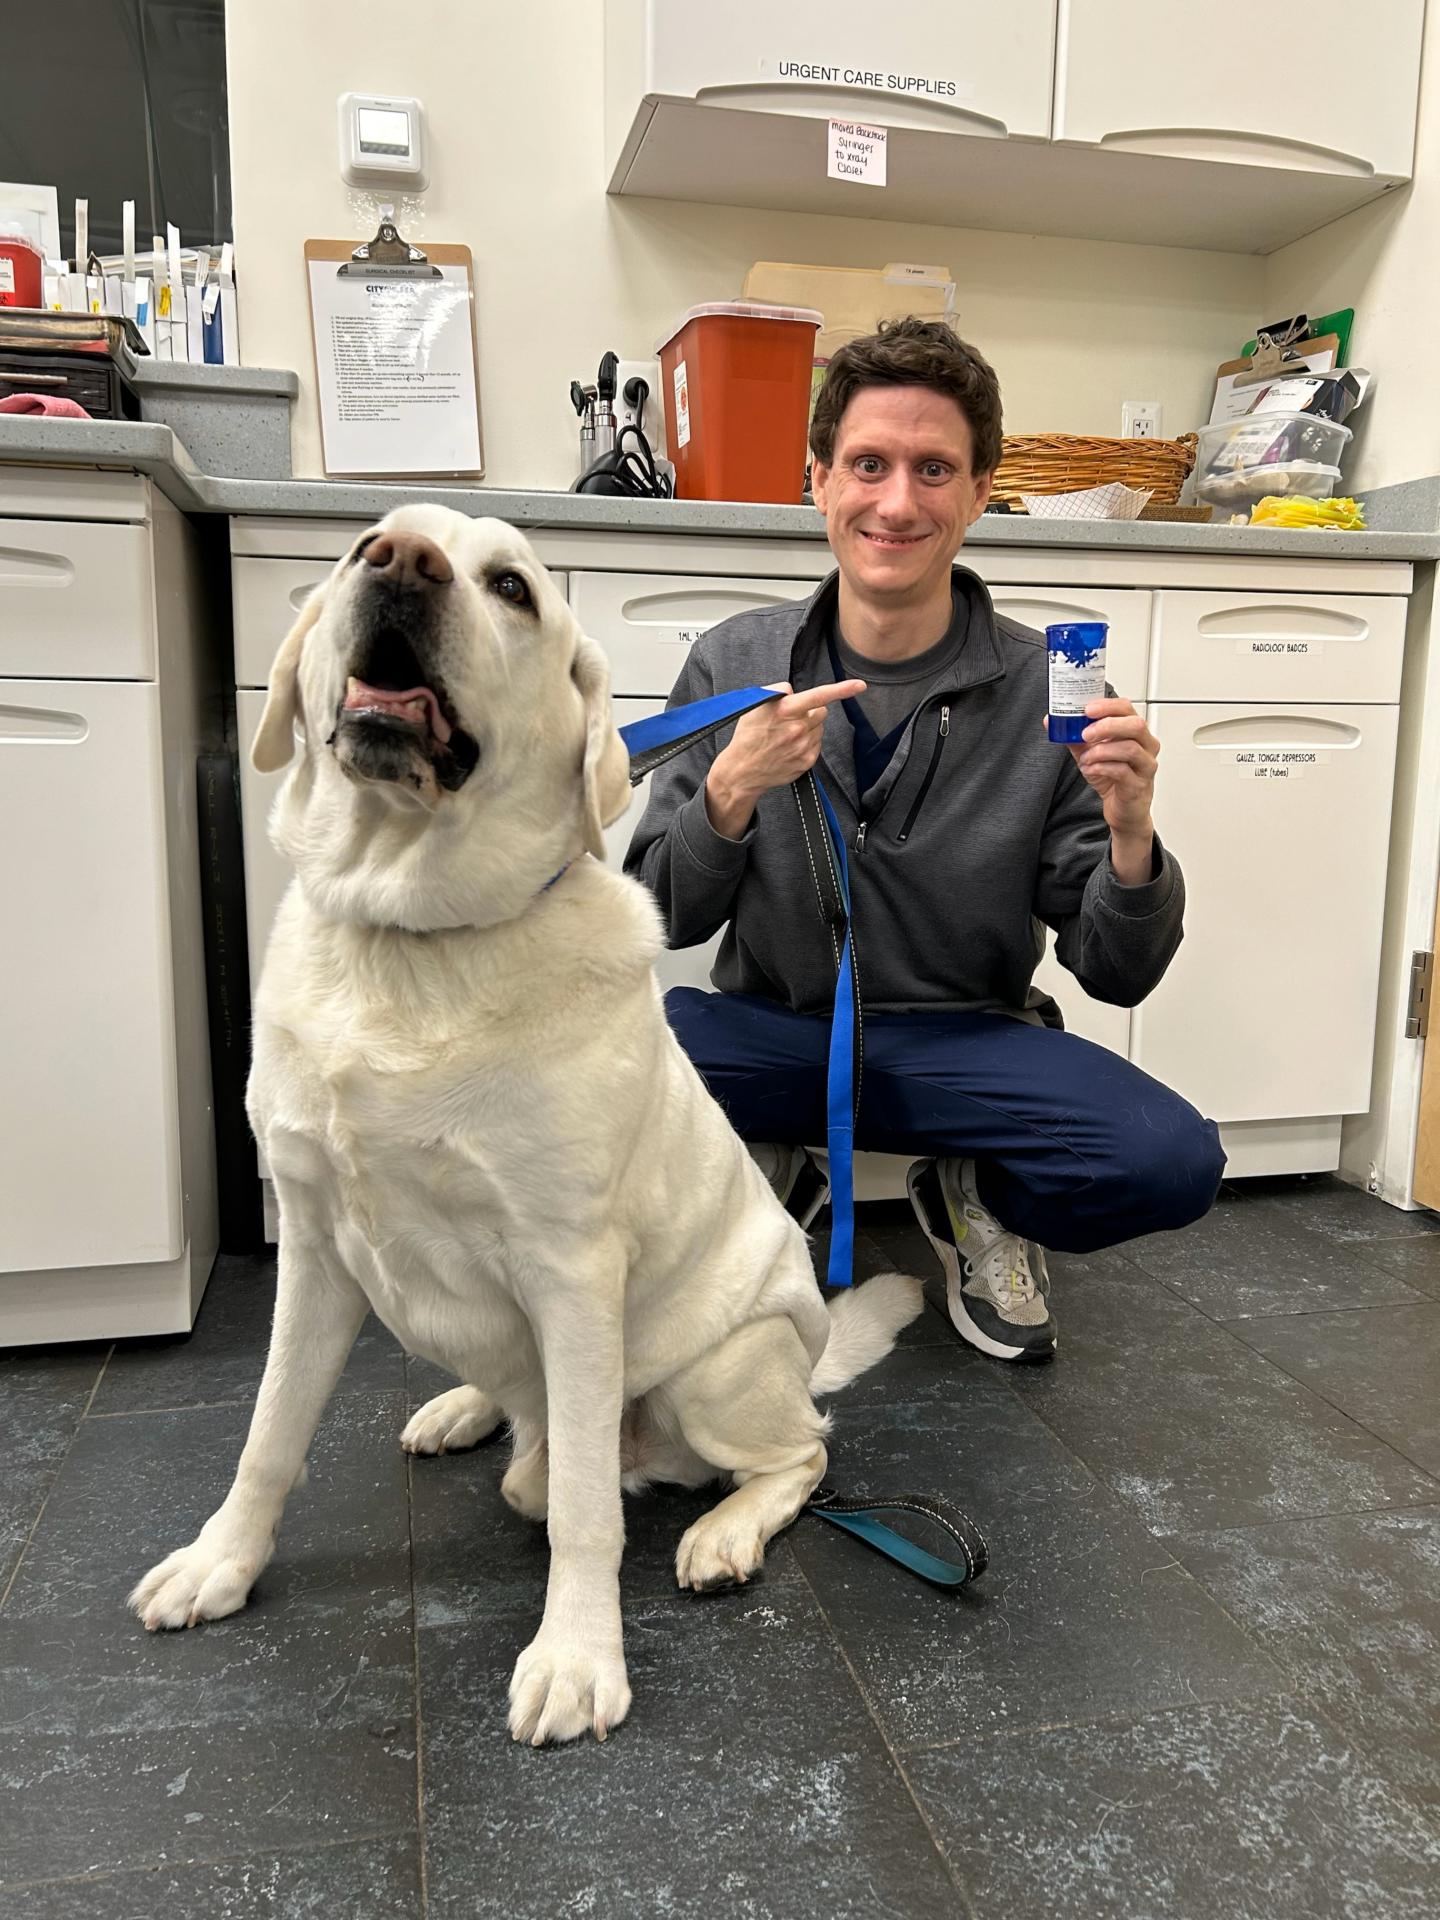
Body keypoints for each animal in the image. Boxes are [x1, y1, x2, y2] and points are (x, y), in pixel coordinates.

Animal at [129, 506, 917, 1743]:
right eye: (362, 544)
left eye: (510, 587)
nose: (402, 564)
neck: (409, 934)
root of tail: (807, 1349)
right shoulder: (310, 1246)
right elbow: (269, 1434)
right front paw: (222, 1562)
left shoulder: (573, 1270)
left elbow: (590, 1510)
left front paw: (579, 1659)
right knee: (531, 1428)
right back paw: (464, 1408)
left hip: (720, 1371)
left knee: (790, 1456)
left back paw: (722, 1531)